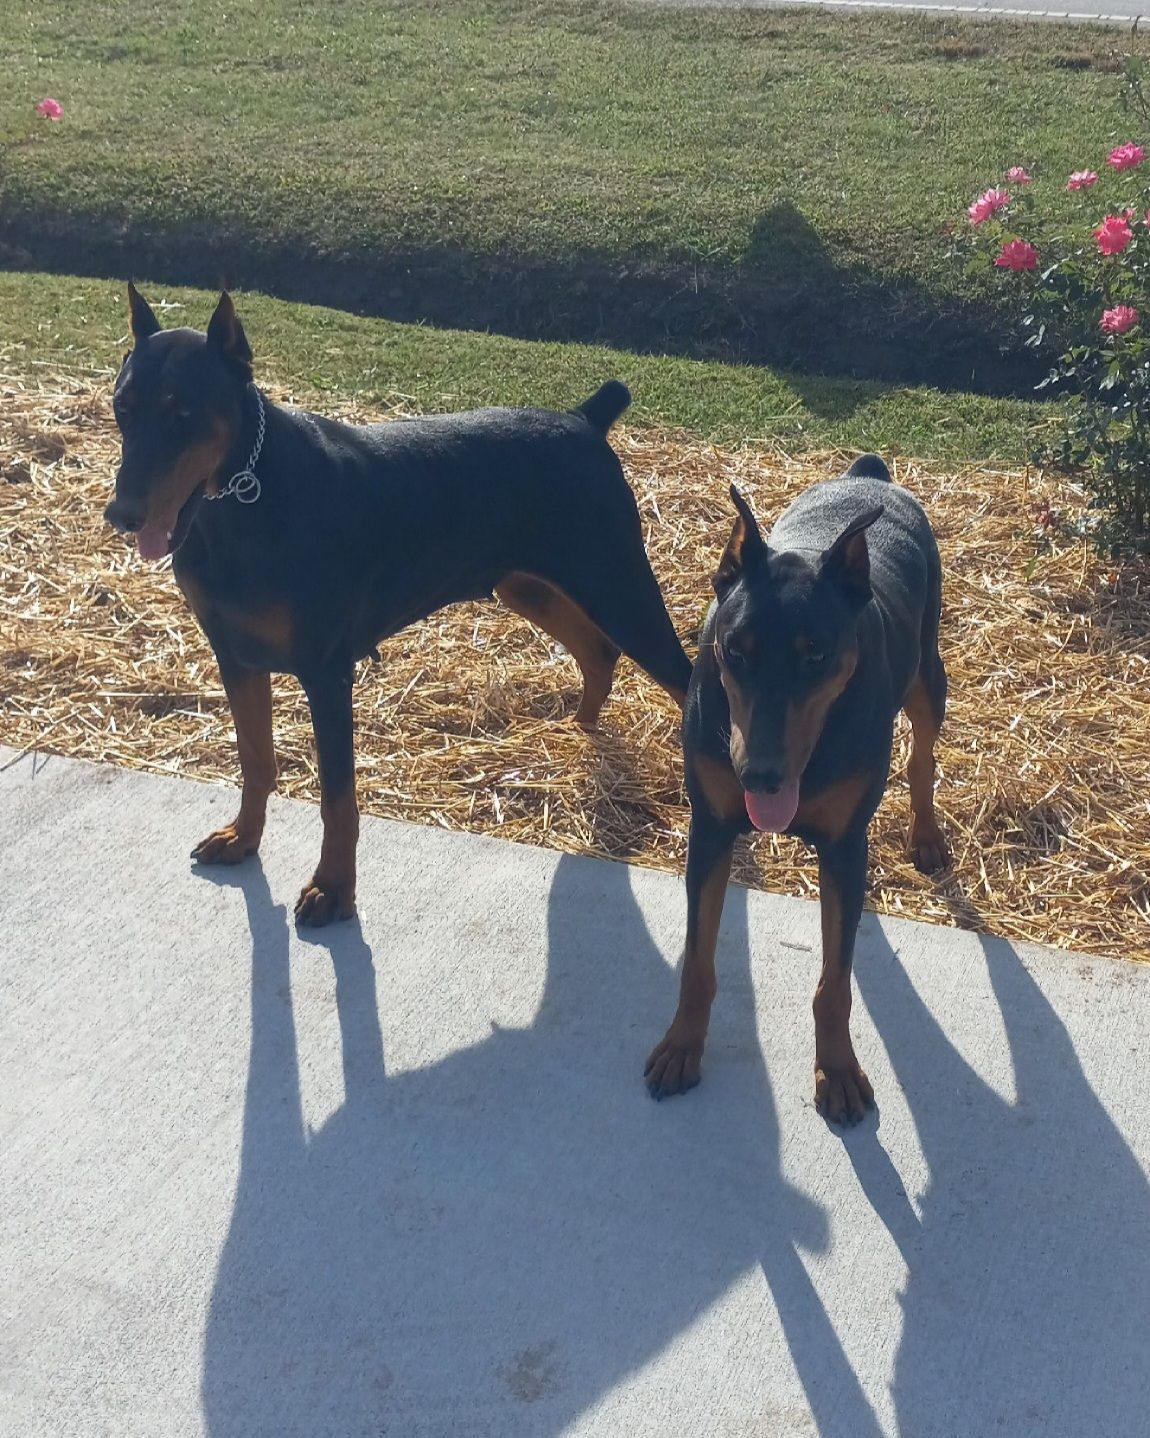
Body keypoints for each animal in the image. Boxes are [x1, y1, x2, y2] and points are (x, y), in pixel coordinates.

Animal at [105, 286, 692, 924]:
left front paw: (333, 888)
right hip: (526, 585)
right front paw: (244, 837)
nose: (121, 514)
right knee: (598, 651)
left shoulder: (327, 672)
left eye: (182, 412)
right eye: (122, 406)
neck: (243, 500)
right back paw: (576, 732)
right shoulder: (234, 655)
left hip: (619, 584)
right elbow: (255, 758)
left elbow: (337, 798)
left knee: (683, 678)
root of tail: (586, 419)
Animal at [644, 455, 949, 1124]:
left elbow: (834, 981)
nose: (759, 774)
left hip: (928, 671)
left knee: (922, 755)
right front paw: (681, 1046)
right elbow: (698, 960)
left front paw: (836, 1071)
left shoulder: (844, 844)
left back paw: (927, 836)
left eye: (817, 655)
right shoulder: (709, 829)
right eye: (735, 650)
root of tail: (868, 475)